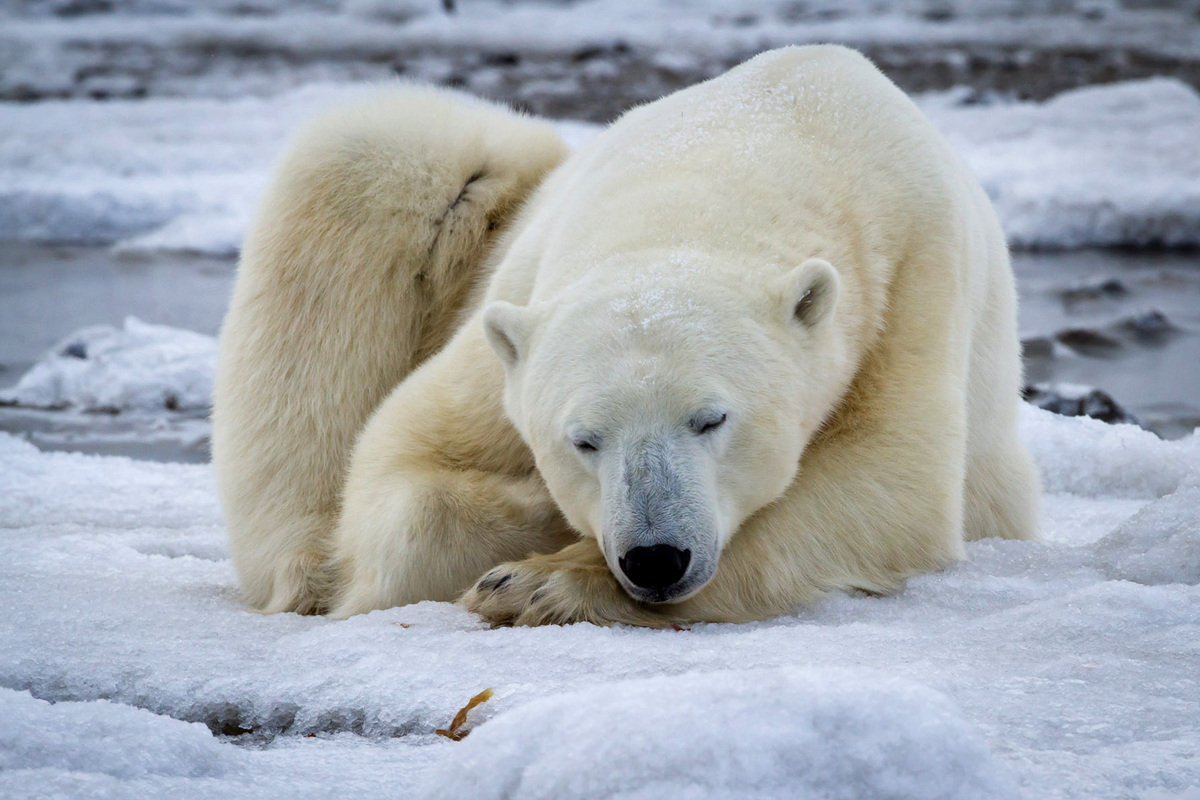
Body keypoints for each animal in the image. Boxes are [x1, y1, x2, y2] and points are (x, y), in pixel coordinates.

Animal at [214, 45, 1040, 627]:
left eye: (712, 419)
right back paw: (307, 568)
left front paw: (539, 582)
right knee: (366, 158)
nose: (655, 558)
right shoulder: (515, 306)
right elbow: (401, 459)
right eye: (582, 438)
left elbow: (892, 488)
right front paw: (532, 523)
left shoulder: (911, 281)